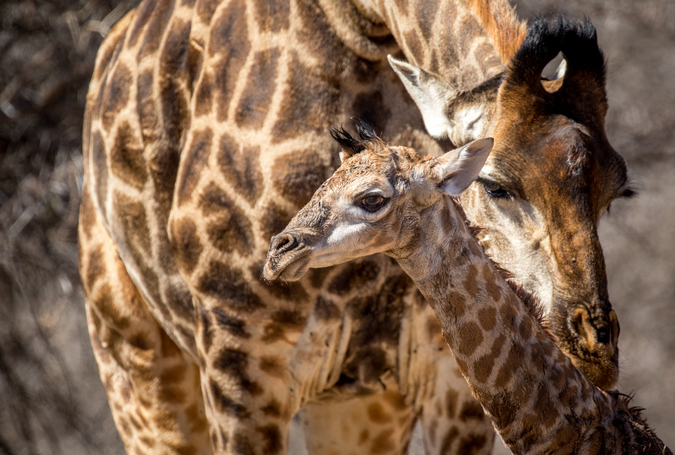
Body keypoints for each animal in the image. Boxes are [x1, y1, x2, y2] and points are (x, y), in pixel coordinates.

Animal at [80, 0, 632, 452]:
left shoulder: (447, 381)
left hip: (356, 402)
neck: (362, 25)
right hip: (138, 371)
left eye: (616, 194)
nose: (596, 351)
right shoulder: (239, 356)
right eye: (495, 185)